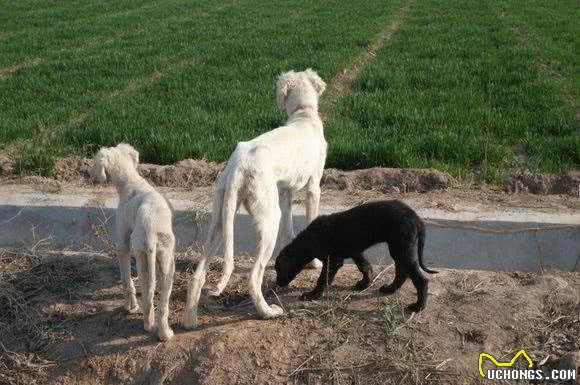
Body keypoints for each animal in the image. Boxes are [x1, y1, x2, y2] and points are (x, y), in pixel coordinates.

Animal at [94, 143, 176, 340]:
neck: (132, 182)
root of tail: (151, 233)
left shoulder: (123, 243)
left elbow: (125, 278)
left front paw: (130, 307)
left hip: (144, 256)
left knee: (148, 299)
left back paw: (151, 327)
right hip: (165, 259)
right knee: (158, 303)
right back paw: (164, 333)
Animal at [181, 68, 326, 328]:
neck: (303, 115)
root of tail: (239, 164)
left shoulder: (285, 192)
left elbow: (290, 228)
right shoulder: (313, 188)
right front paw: (315, 263)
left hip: (220, 220)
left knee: (198, 275)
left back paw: (190, 321)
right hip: (268, 219)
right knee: (253, 277)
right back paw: (267, 312)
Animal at [276, 200, 436, 310]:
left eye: (279, 269)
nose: (278, 284)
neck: (308, 239)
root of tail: (416, 218)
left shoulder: (333, 260)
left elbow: (322, 280)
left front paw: (312, 295)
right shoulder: (355, 252)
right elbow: (364, 266)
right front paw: (365, 283)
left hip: (401, 248)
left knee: (421, 279)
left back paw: (418, 307)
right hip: (399, 249)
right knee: (402, 272)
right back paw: (390, 289)